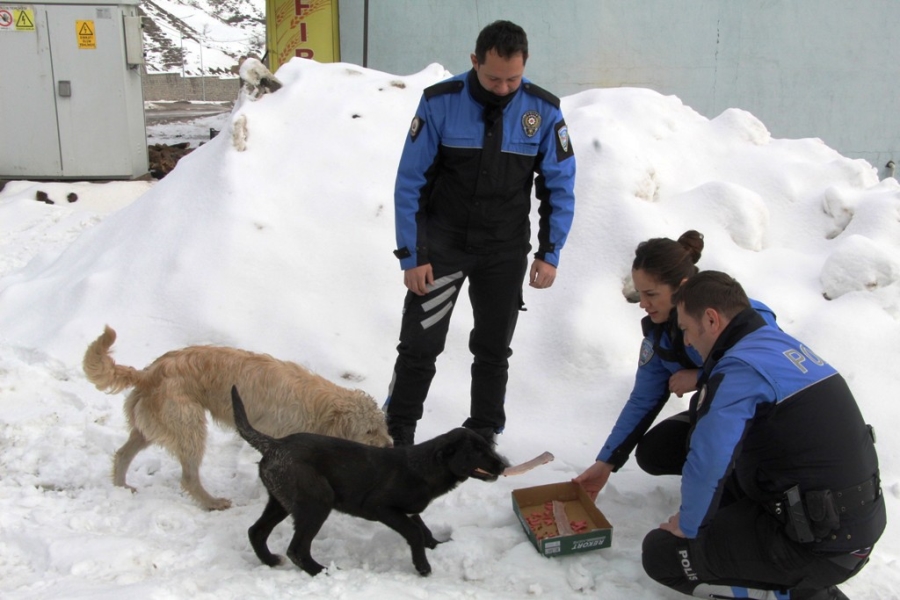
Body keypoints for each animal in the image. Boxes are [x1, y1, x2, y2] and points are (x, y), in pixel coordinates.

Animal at [82, 326, 392, 508]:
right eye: (369, 432)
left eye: (382, 426)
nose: (390, 446)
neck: (323, 409)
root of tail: (147, 373)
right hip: (189, 426)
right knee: (188, 477)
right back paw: (211, 502)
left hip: (150, 427)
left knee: (122, 454)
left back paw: (121, 487)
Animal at [229, 386, 510, 576]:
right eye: (476, 451)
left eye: (488, 446)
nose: (504, 465)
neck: (425, 466)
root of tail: (274, 445)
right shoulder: (380, 507)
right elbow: (414, 532)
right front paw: (423, 567)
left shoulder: (408, 510)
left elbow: (422, 528)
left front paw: (437, 546)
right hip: (316, 502)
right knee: (296, 549)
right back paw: (324, 572)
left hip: (280, 501)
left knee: (256, 531)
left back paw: (270, 561)